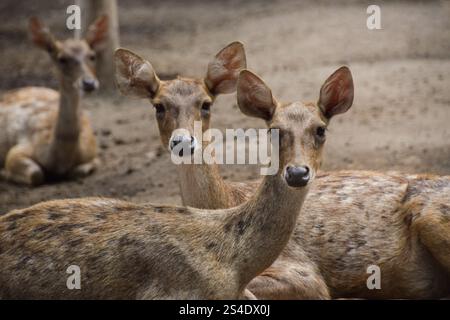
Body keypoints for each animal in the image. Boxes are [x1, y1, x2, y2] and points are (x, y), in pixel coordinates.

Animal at [0, 16, 108, 186]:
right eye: (61, 59)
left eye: (92, 56)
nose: (89, 83)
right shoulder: (18, 149)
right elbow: (36, 174)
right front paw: (4, 172)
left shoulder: (93, 150)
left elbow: (79, 171)